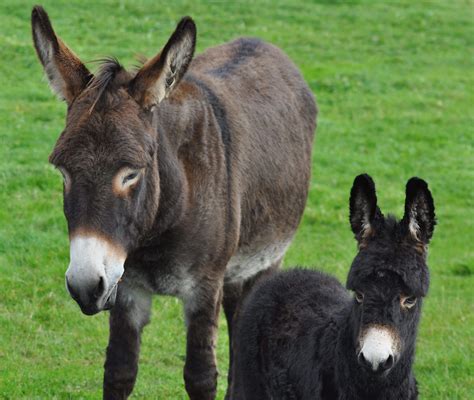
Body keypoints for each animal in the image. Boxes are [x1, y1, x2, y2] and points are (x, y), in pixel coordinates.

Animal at [31, 3, 316, 400]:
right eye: (62, 171)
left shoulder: (203, 288)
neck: (160, 228)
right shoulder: (126, 286)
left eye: (131, 173)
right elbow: (118, 372)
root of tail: (260, 42)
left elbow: (200, 376)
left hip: (265, 260)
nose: (86, 287)